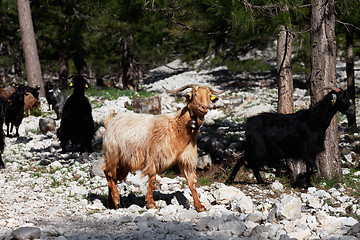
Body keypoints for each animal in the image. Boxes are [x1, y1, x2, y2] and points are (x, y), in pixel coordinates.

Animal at [102, 83, 224, 211]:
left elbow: (191, 183)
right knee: (107, 172)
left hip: (124, 162)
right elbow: (152, 180)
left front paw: (199, 206)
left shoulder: (186, 159)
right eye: (194, 95)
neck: (176, 129)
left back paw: (112, 203)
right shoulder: (153, 158)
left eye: (209, 95)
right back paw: (116, 198)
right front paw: (151, 203)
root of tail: (110, 120)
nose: (204, 107)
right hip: (113, 154)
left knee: (113, 176)